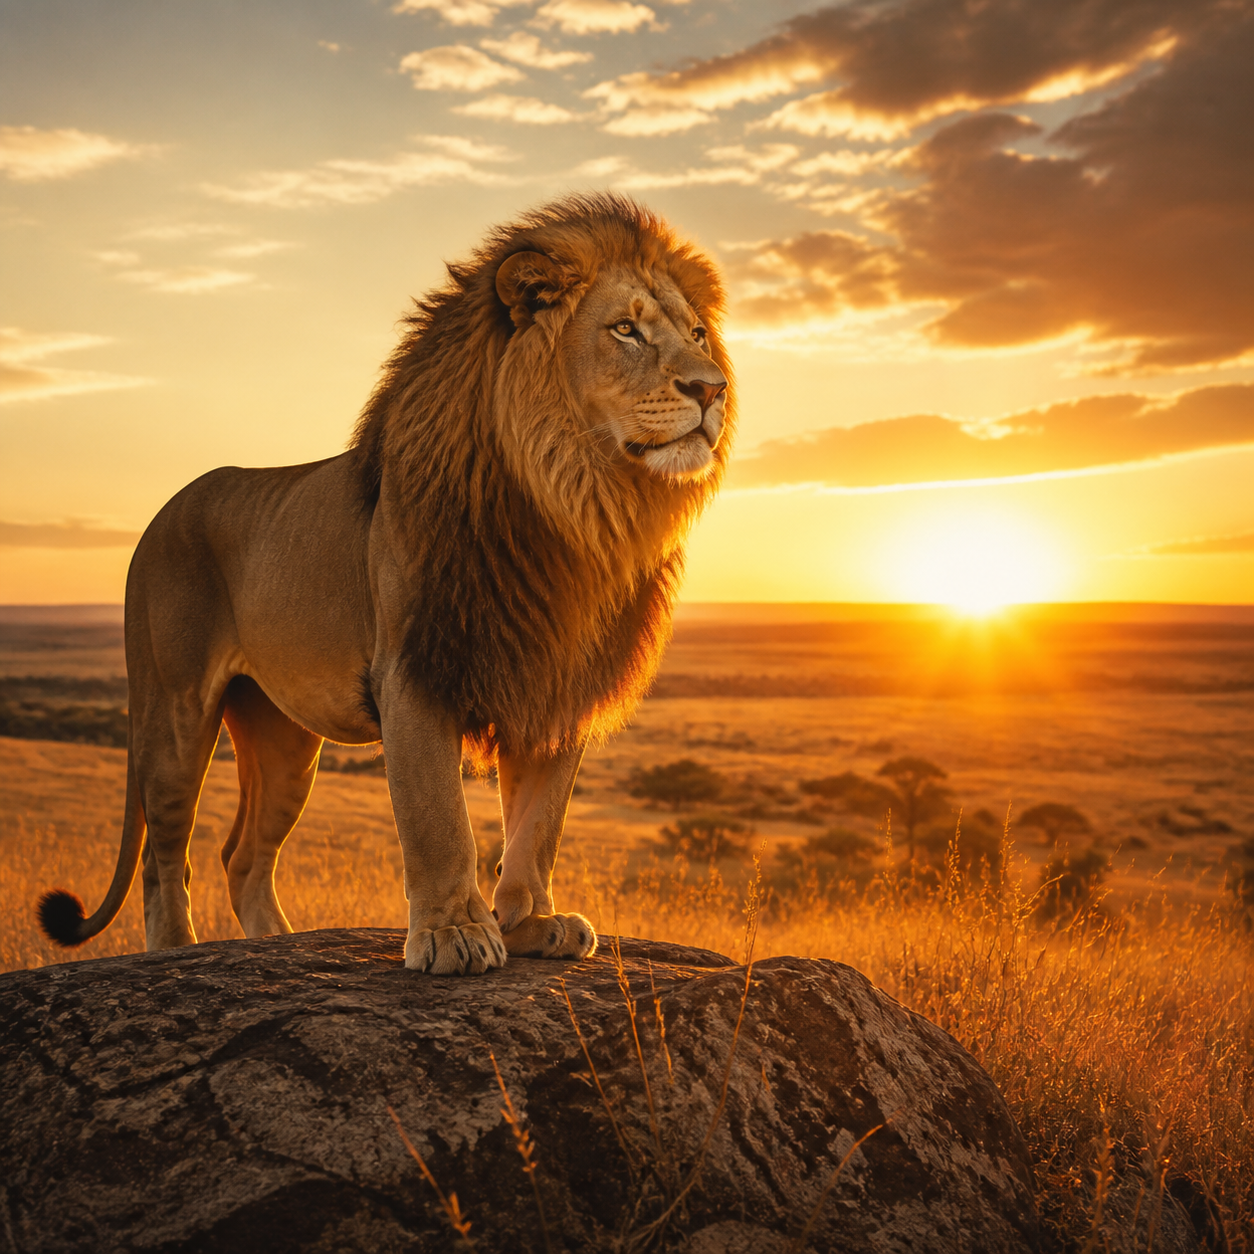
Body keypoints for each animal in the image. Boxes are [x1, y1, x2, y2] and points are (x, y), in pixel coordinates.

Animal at [38, 193, 734, 975]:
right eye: (625, 329)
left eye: (698, 334)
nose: (711, 388)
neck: (575, 504)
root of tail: (159, 516)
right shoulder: (416, 672)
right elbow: (439, 820)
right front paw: (456, 934)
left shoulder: (551, 685)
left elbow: (538, 824)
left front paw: (533, 923)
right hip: (175, 707)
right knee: (166, 855)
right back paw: (176, 954)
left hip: (283, 738)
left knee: (242, 855)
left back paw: (277, 947)